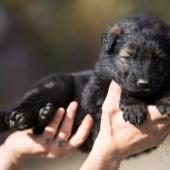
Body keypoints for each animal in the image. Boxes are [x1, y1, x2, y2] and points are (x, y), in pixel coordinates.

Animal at [0, 15, 170, 151]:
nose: (144, 83)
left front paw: (166, 101)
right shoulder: (95, 92)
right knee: (27, 105)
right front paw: (133, 106)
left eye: (157, 59)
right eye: (128, 57)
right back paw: (20, 118)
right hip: (57, 84)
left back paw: (46, 114)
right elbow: (124, 89)